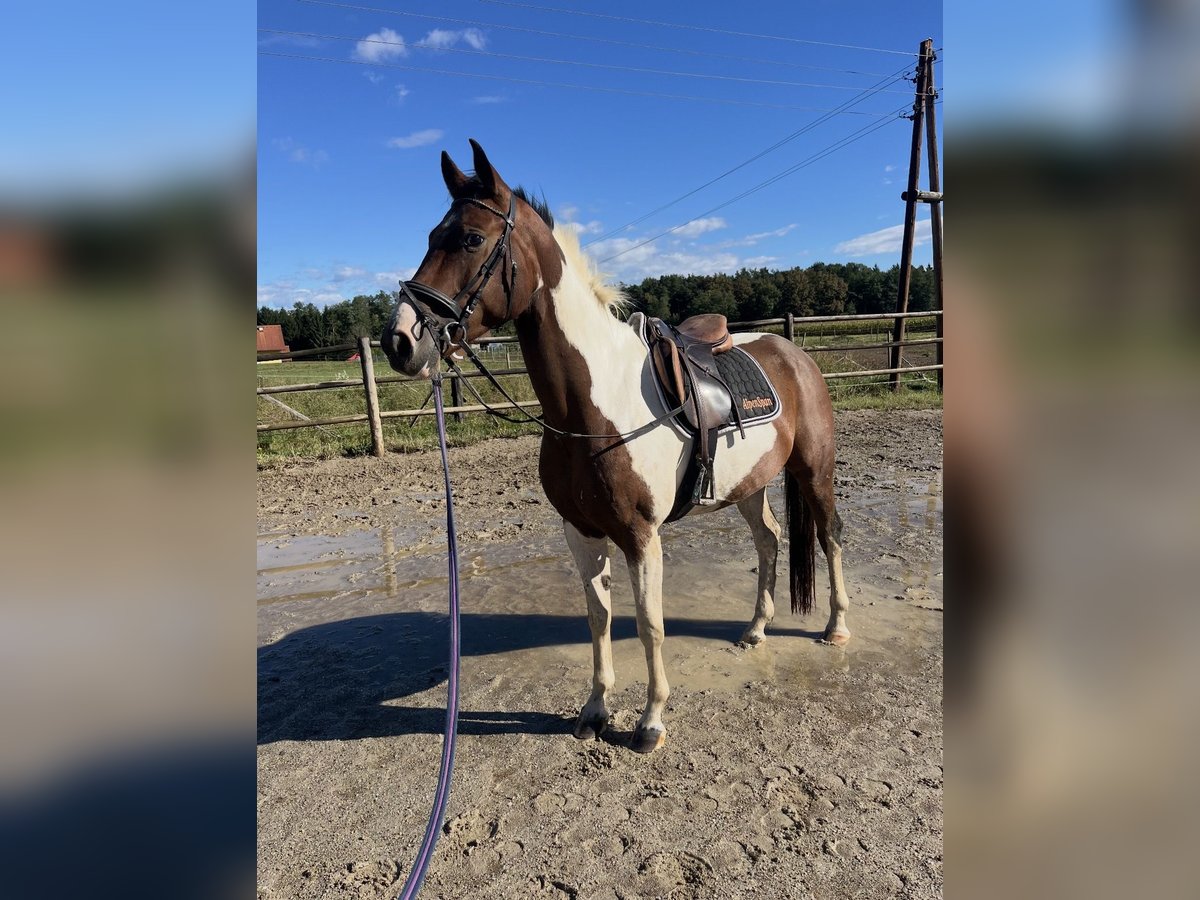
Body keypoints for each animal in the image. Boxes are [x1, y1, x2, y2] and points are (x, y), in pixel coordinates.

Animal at [381, 140, 850, 754]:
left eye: (471, 239)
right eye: (432, 236)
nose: (399, 340)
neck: (592, 405)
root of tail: (793, 353)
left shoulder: (640, 537)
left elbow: (650, 624)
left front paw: (650, 721)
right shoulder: (581, 532)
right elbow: (597, 618)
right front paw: (595, 710)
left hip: (814, 470)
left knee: (828, 535)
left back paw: (836, 627)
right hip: (748, 485)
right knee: (770, 542)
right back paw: (754, 630)